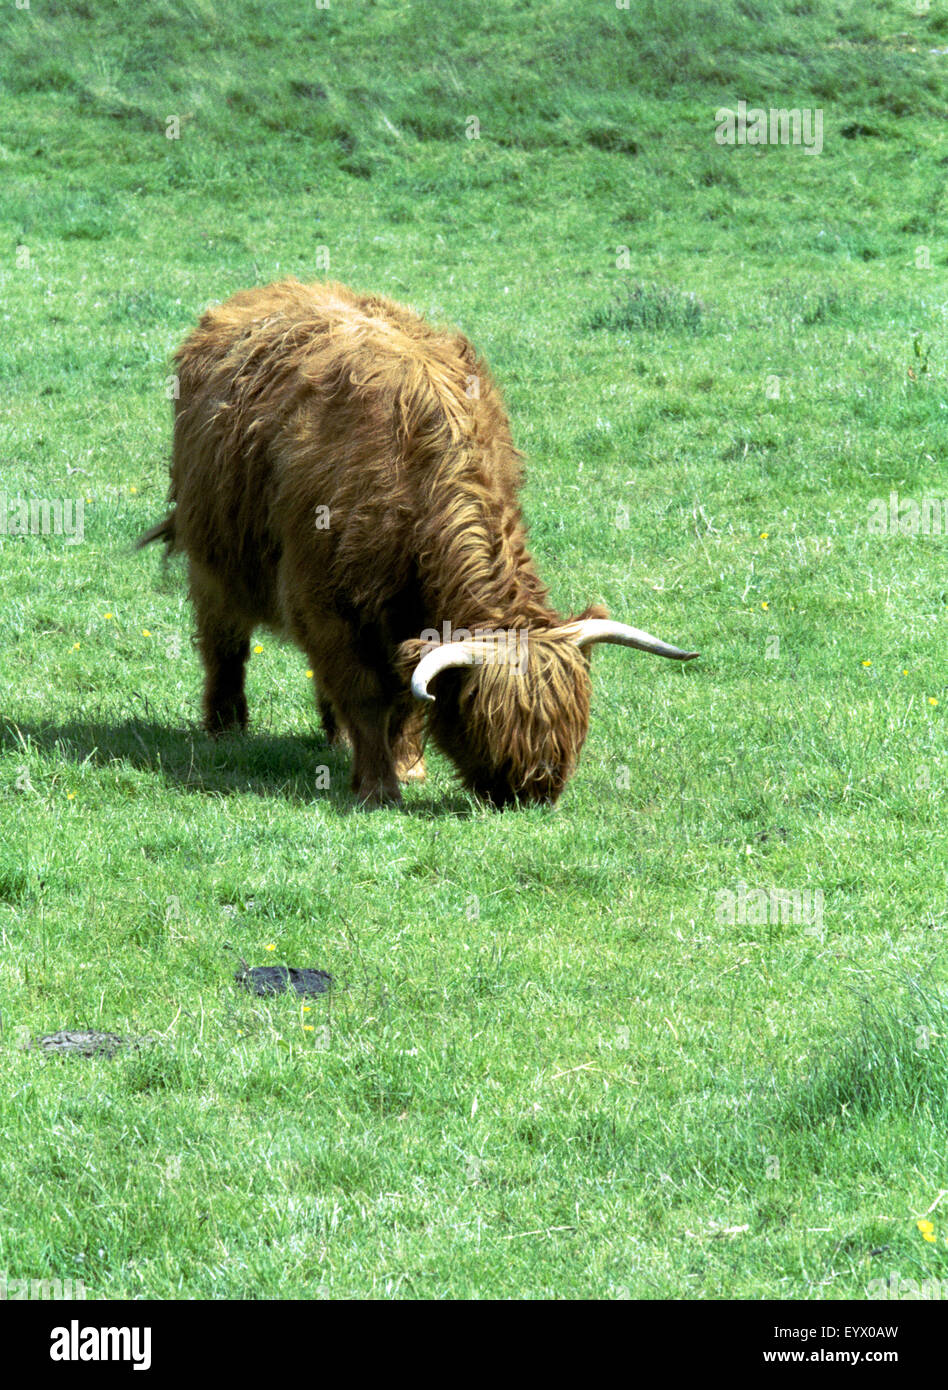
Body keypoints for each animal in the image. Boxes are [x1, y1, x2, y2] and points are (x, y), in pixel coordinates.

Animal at [139, 279, 697, 807]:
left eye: (572, 720)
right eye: (485, 719)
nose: (535, 789)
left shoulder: (406, 619)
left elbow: (407, 698)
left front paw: (406, 764)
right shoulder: (325, 603)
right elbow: (364, 692)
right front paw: (378, 786)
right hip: (212, 558)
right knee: (223, 642)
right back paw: (225, 728)